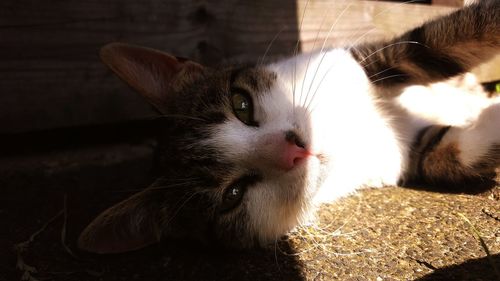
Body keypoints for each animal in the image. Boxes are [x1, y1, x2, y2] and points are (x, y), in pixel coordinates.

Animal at [77, 0, 500, 253]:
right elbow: (447, 154)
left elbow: (428, 44)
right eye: (233, 194)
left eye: (241, 104)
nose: (295, 148)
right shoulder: (405, 156)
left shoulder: (359, 61)